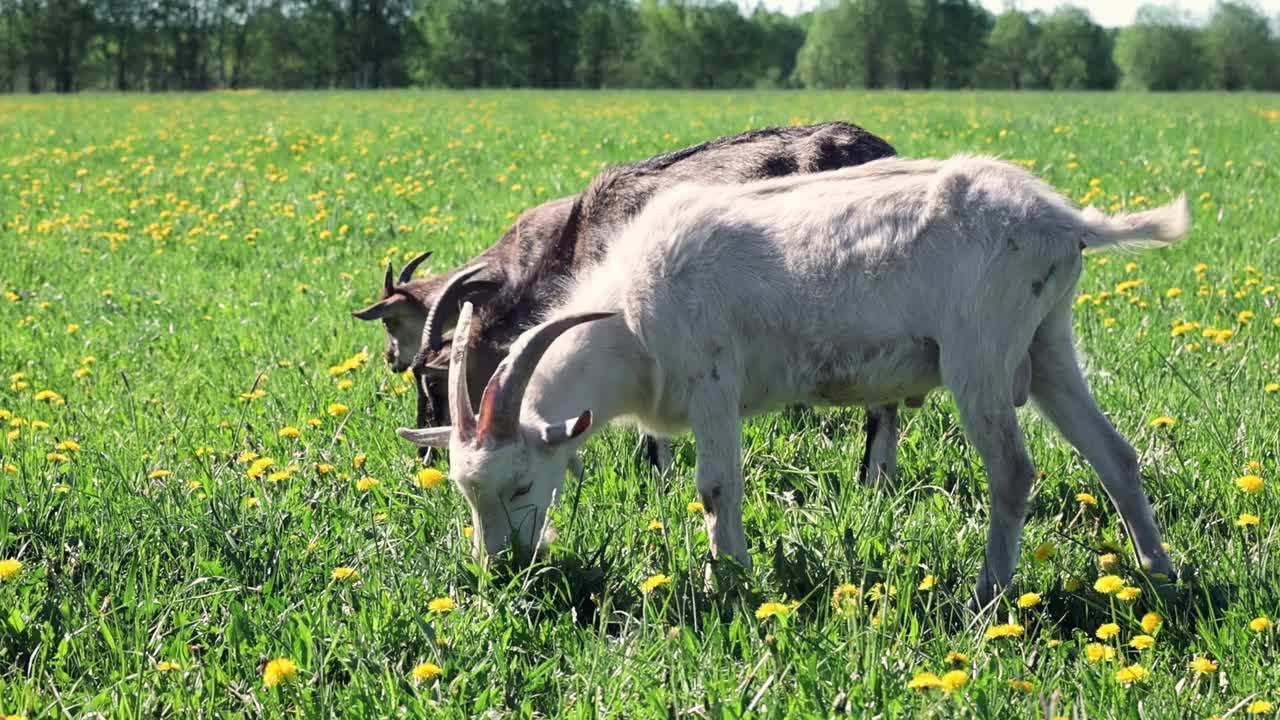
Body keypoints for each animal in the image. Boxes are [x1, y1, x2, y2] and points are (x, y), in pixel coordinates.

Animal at [399, 154, 1187, 602]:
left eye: (521, 486)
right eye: (468, 495)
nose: (502, 570)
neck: (630, 317)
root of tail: (1063, 218)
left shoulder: (713, 384)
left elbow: (715, 487)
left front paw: (728, 579)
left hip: (980, 353)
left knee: (1014, 470)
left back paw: (987, 595)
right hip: (1048, 339)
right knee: (1114, 453)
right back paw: (1161, 573)